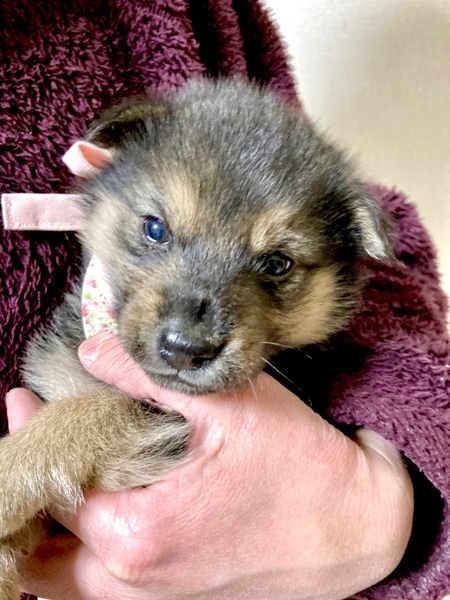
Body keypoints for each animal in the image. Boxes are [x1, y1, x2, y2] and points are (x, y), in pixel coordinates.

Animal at [0, 79, 391, 598]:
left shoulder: (157, 426)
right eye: (155, 228)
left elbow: (86, 412)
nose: (186, 349)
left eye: (277, 263)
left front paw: (8, 474)